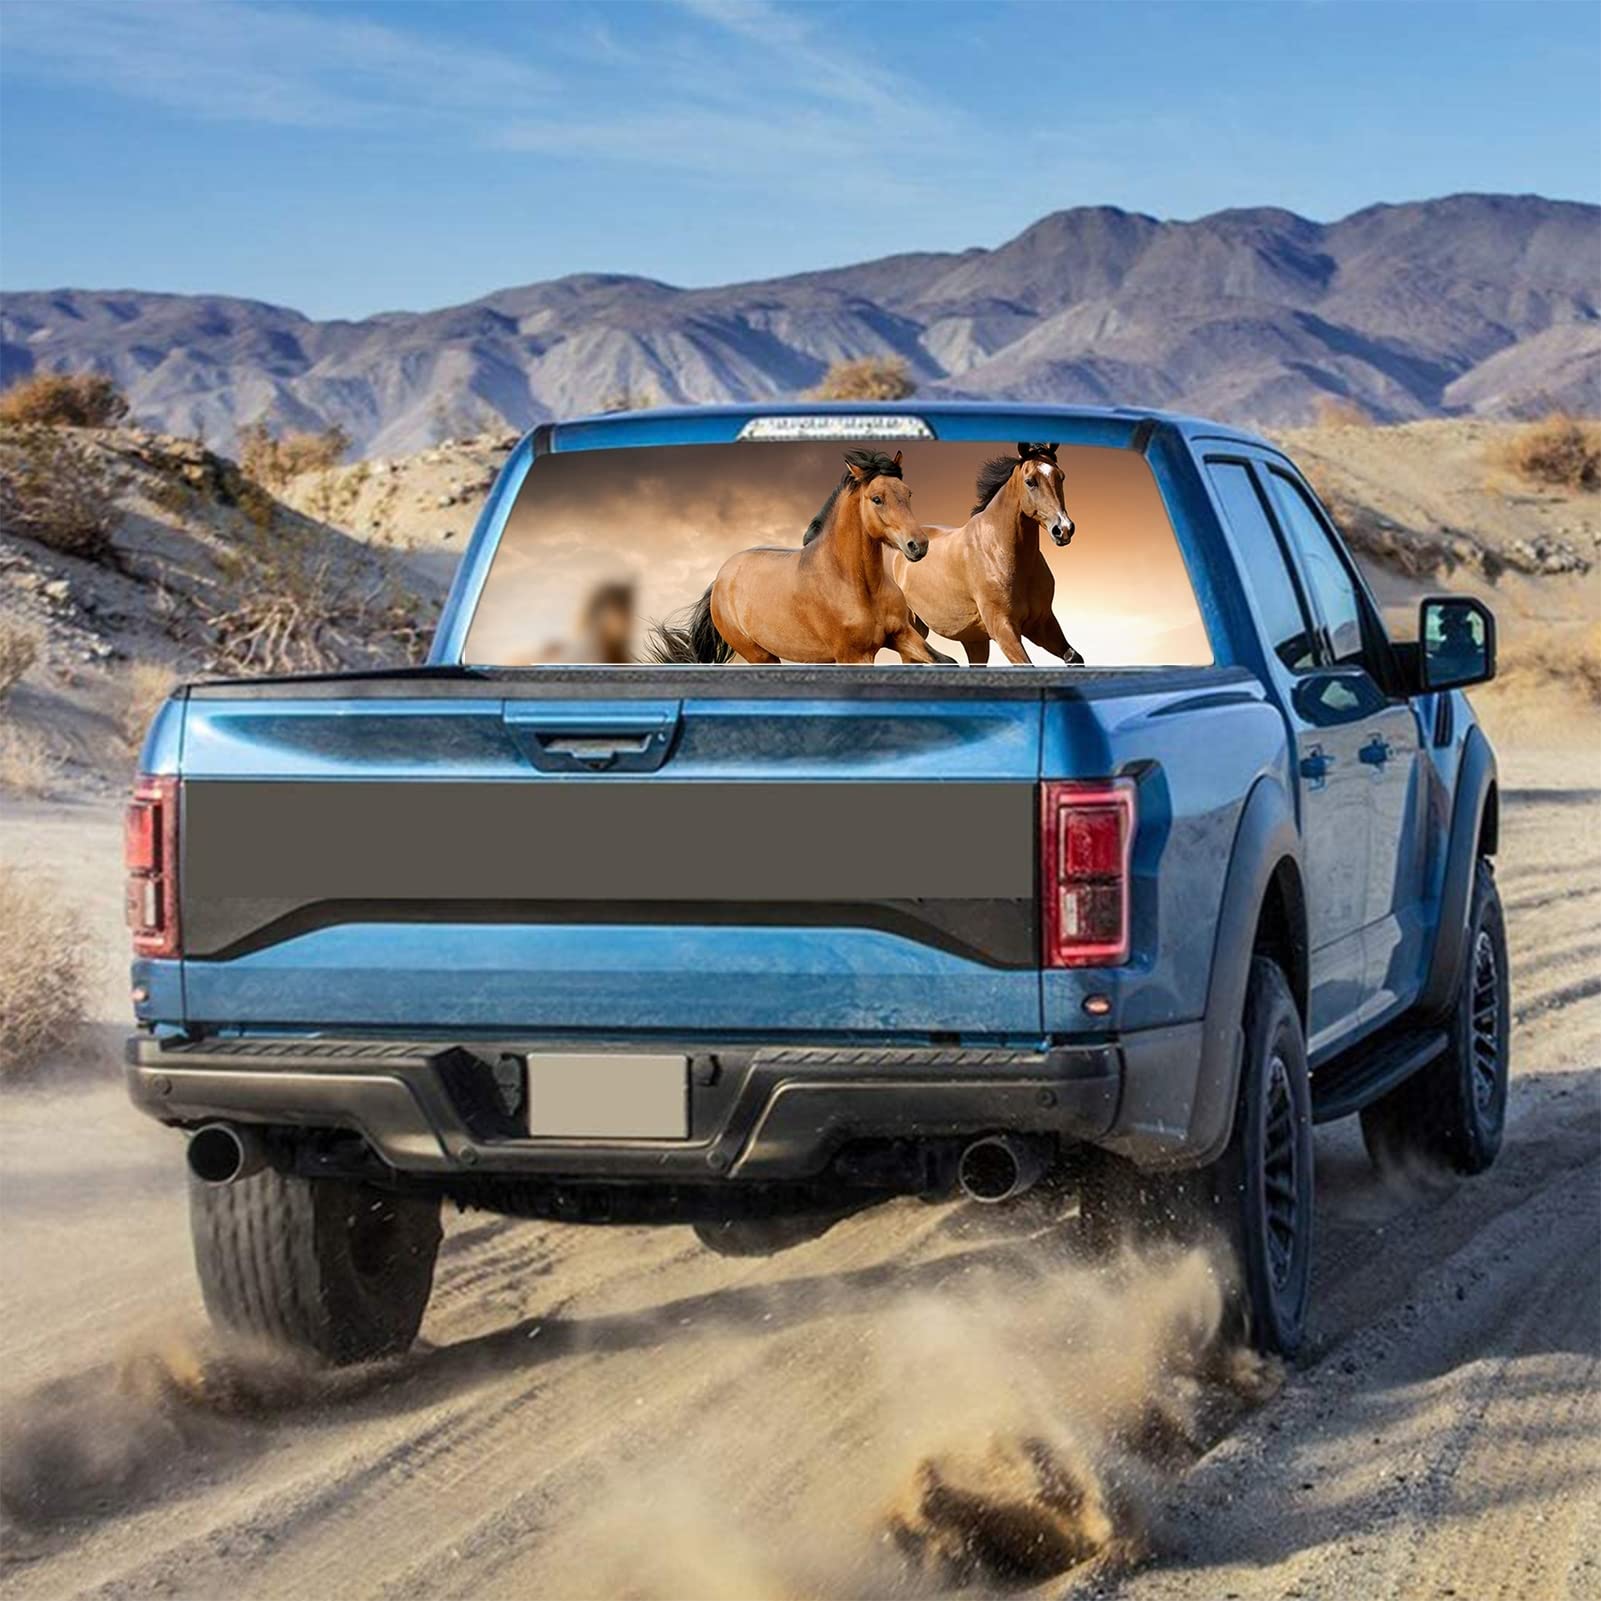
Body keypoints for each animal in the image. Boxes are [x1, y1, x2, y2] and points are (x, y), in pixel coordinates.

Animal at [646, 450, 943, 665]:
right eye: (877, 499)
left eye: (908, 493)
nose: (918, 545)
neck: (857, 585)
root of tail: (719, 581)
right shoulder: (853, 656)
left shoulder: (903, 634)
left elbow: (944, 661)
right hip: (761, 656)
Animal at [892, 443, 1084, 666]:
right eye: (1030, 481)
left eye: (1061, 477)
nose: (1063, 529)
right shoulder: (1003, 629)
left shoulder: (1042, 623)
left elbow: (1074, 657)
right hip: (913, 629)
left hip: (974, 641)